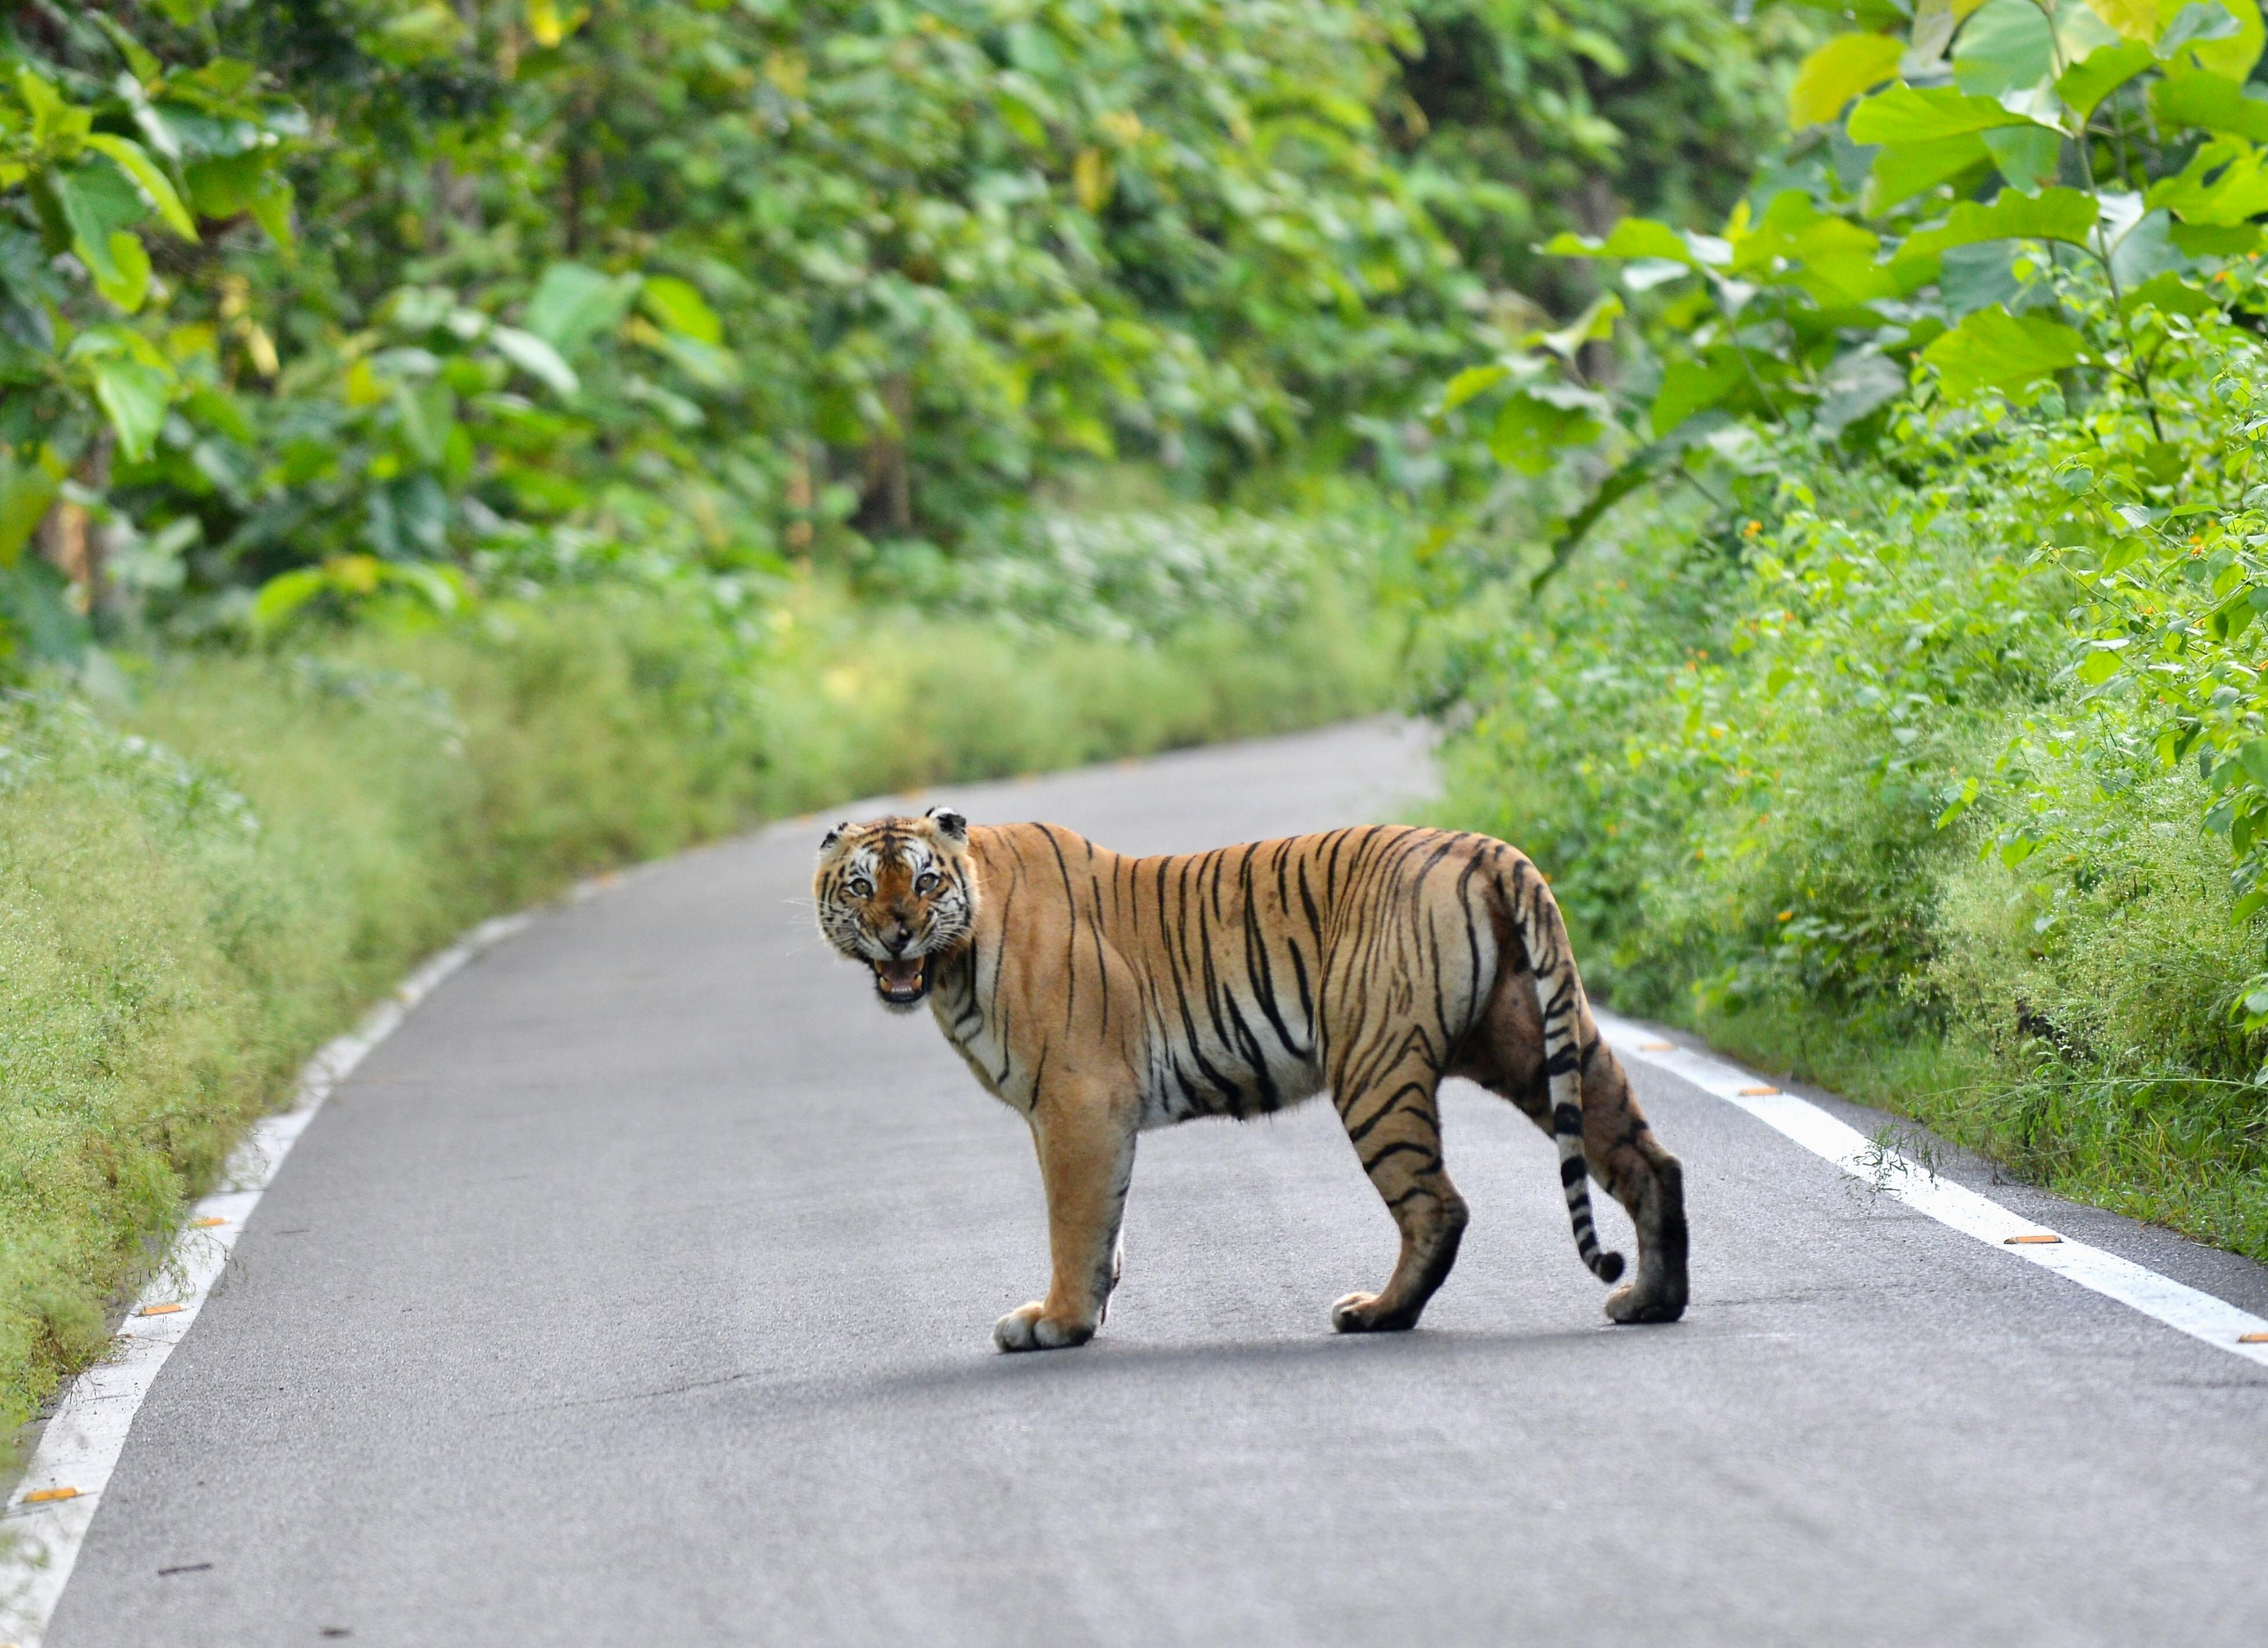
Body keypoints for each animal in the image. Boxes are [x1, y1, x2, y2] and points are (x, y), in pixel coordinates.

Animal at [813, 807, 1688, 1351]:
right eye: (861, 885)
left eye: (924, 881)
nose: (897, 933)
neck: (954, 963)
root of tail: (1481, 847)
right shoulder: (1084, 1114)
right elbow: (1105, 1224)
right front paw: (1085, 1310)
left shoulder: (1076, 1102)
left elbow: (1074, 1222)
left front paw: (1057, 1321)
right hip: (1532, 1042)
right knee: (1649, 1160)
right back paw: (1651, 1299)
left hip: (1374, 1069)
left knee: (1437, 1206)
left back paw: (1376, 1313)